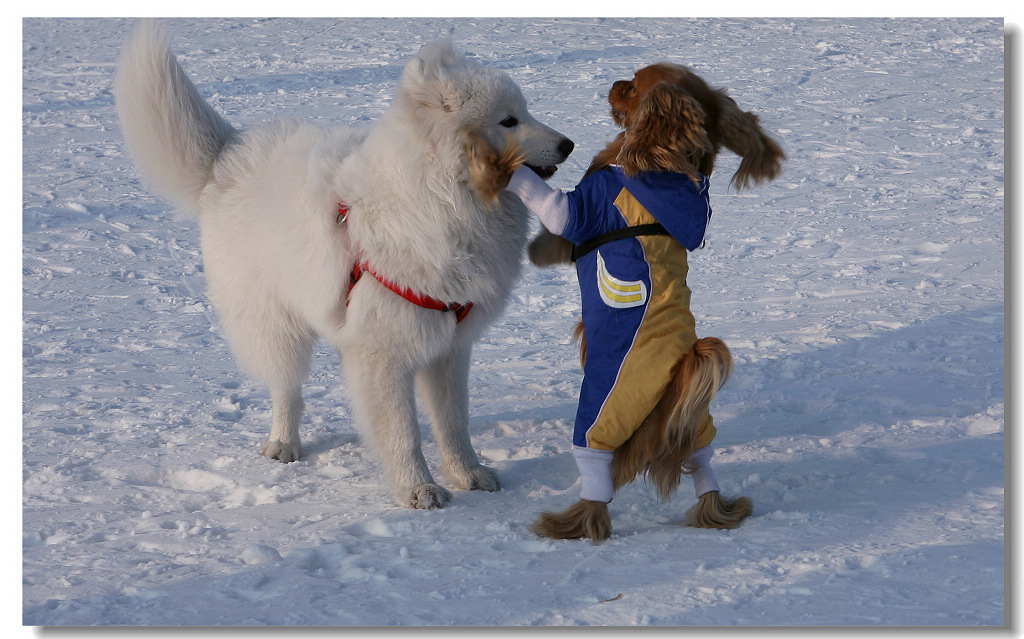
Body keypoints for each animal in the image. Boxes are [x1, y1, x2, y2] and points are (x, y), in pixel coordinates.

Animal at [117, 21, 577, 509]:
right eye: (508, 120)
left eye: (524, 111)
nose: (569, 144)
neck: (439, 199)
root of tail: (228, 152)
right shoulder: (384, 350)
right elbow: (403, 432)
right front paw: (419, 489)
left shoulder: (448, 347)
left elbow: (453, 423)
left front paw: (467, 473)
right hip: (274, 321)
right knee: (286, 388)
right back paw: (283, 443)